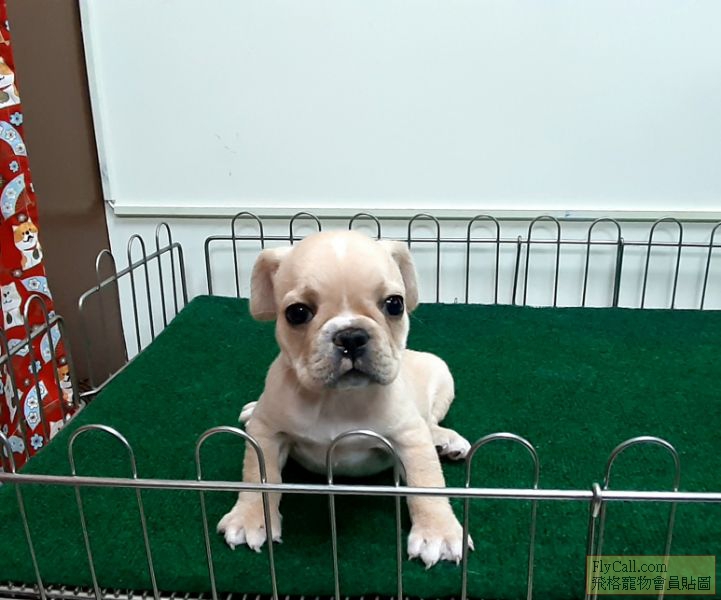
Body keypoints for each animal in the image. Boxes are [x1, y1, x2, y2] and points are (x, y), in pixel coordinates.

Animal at [218, 230, 472, 567]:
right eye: (297, 313)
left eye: (395, 304)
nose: (351, 335)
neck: (337, 399)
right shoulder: (266, 433)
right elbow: (259, 477)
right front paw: (250, 518)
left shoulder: (410, 437)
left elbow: (426, 481)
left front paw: (438, 532)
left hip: (441, 376)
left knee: (430, 422)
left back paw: (446, 440)